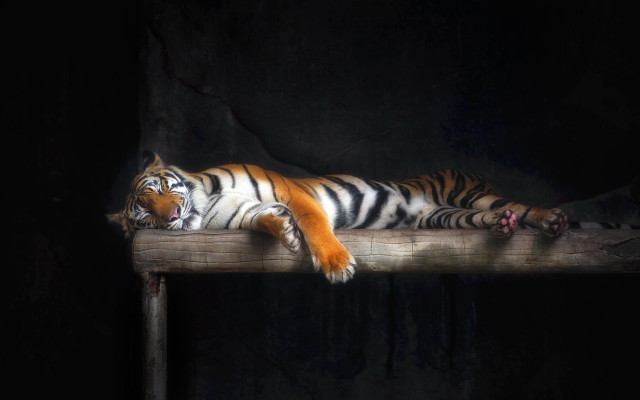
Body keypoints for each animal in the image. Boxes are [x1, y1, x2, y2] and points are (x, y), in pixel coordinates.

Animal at [108, 151, 568, 283]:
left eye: (161, 191)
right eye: (144, 215)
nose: (172, 216)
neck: (206, 204)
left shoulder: (293, 192)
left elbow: (314, 222)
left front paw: (335, 264)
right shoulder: (243, 212)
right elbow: (262, 218)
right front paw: (285, 232)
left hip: (468, 193)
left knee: (519, 206)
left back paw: (552, 220)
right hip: (444, 217)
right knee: (495, 216)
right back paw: (502, 226)